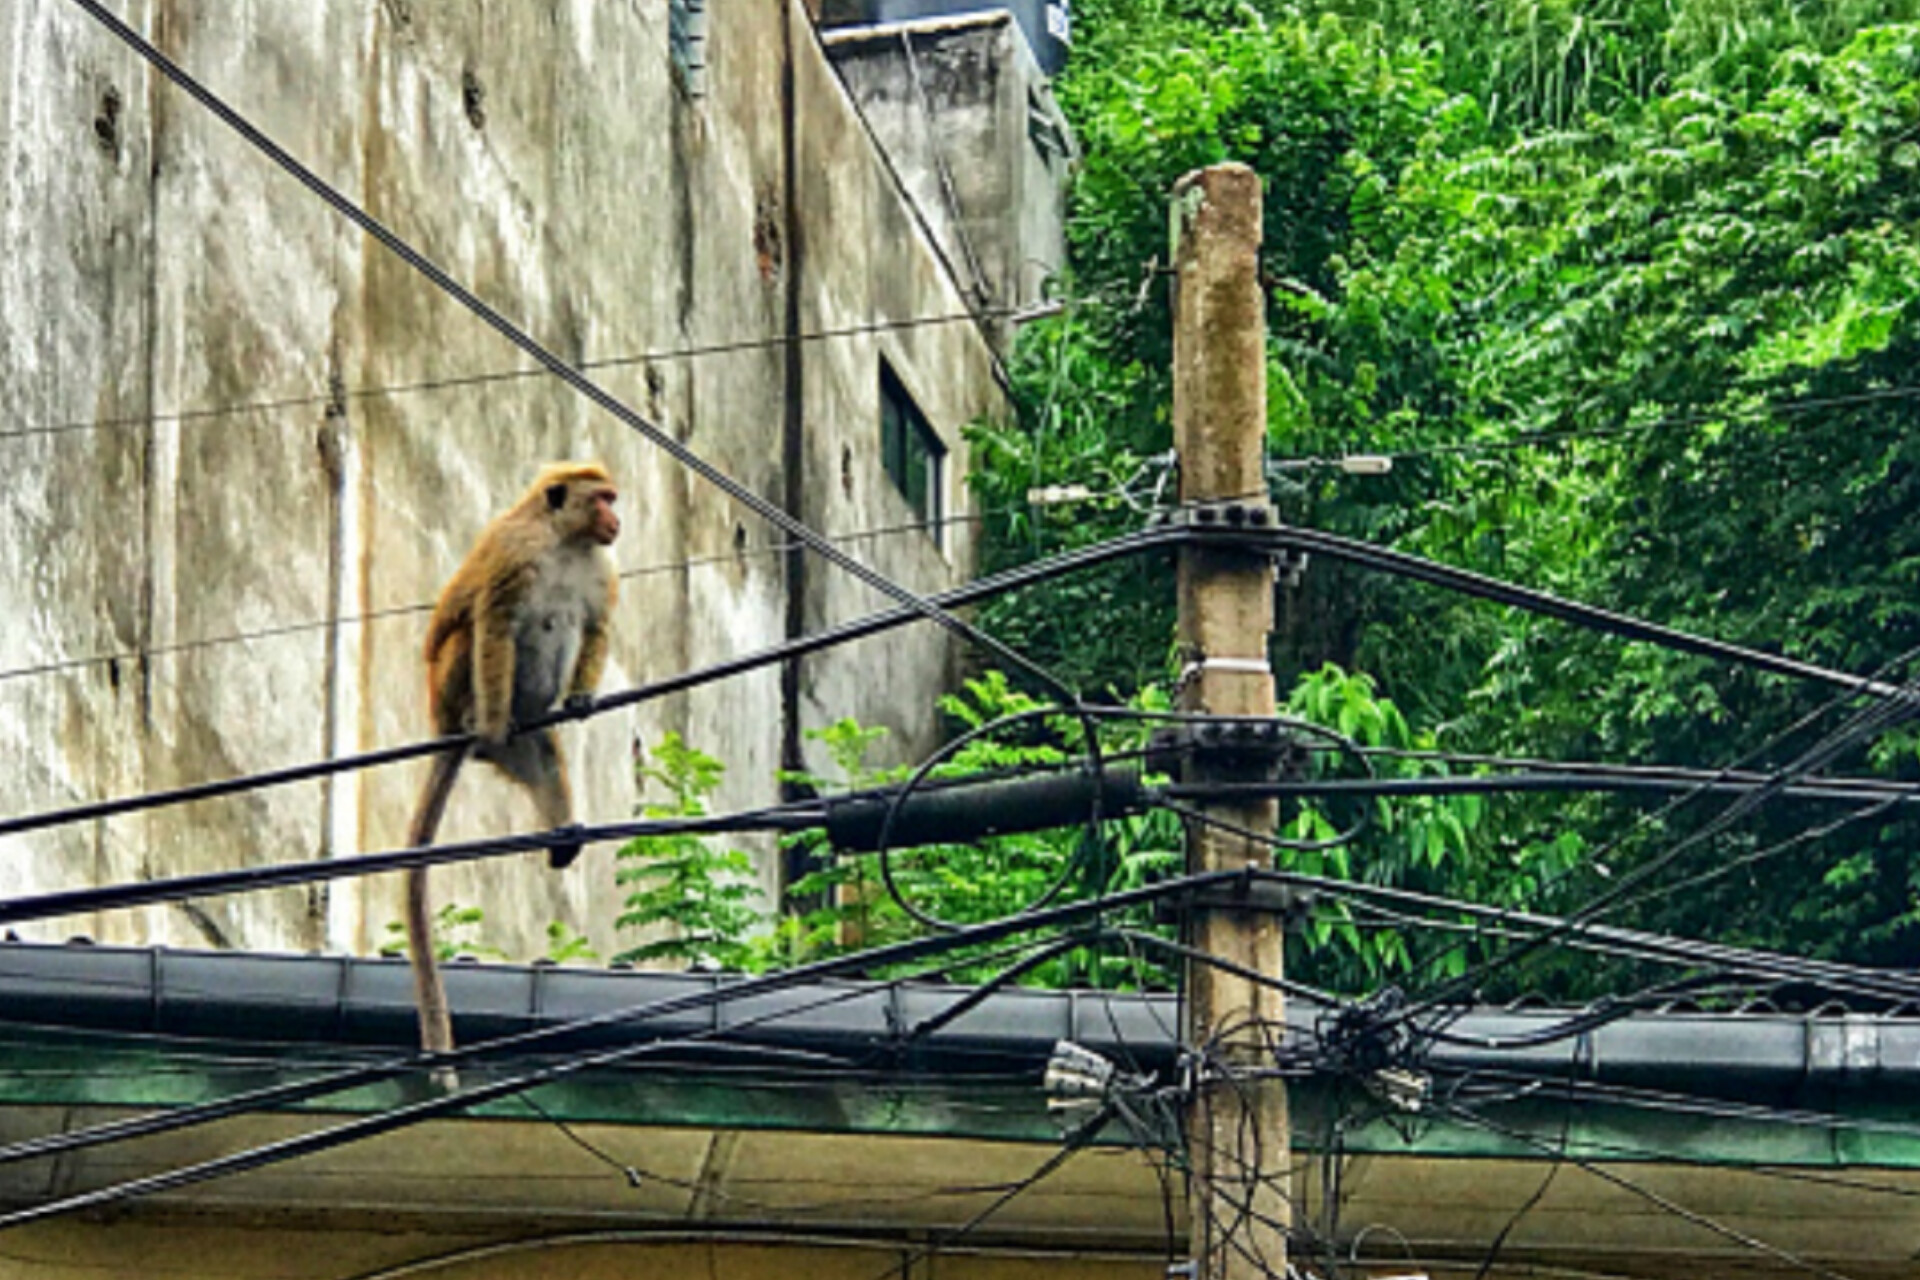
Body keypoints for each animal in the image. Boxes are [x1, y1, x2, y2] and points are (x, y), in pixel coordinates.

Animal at [404, 461, 620, 1065]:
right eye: (603, 499)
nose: (616, 518)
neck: (566, 542)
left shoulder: (601, 567)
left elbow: (595, 627)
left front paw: (580, 698)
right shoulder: (515, 551)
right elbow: (495, 620)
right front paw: (496, 714)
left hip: (527, 744)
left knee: (544, 758)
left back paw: (563, 832)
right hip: (449, 686)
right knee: (470, 633)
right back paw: (483, 720)